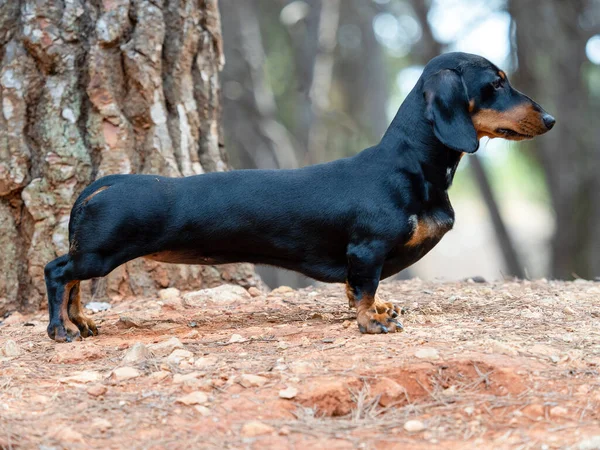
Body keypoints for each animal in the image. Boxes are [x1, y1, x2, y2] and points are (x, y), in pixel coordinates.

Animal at [44, 51, 556, 342]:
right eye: (496, 83)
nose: (550, 118)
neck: (410, 166)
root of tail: (105, 182)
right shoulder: (367, 250)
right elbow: (364, 288)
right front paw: (372, 322)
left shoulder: (361, 258)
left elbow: (358, 289)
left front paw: (378, 310)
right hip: (100, 254)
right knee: (58, 273)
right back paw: (60, 330)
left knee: (71, 283)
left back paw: (81, 323)